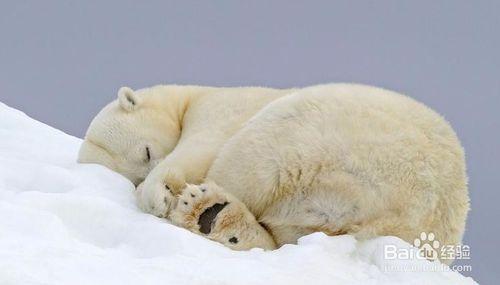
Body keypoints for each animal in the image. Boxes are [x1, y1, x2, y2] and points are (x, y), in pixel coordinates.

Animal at [78, 83, 468, 262]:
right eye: (133, 170)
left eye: (146, 152)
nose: (150, 175)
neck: (193, 95)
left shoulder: (222, 107)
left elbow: (202, 144)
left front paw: (160, 193)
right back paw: (218, 219)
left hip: (317, 133)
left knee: (246, 157)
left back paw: (202, 208)